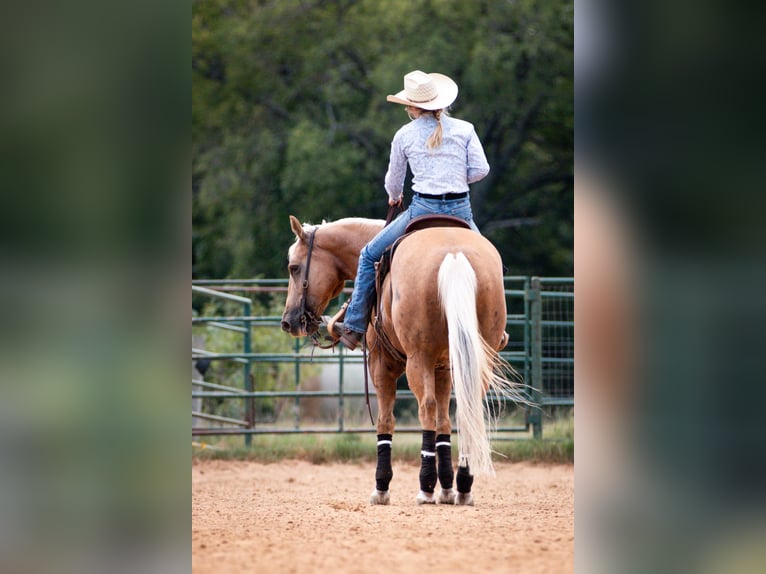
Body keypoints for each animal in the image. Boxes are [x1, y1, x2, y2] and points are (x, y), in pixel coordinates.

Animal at [282, 216, 528, 508]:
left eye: (294, 268)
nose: (289, 321)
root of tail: (454, 255)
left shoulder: (381, 365)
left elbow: (385, 420)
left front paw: (382, 488)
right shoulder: (443, 368)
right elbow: (444, 422)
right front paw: (447, 489)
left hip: (417, 359)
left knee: (426, 408)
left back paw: (425, 488)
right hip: (475, 358)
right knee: (464, 409)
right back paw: (463, 488)